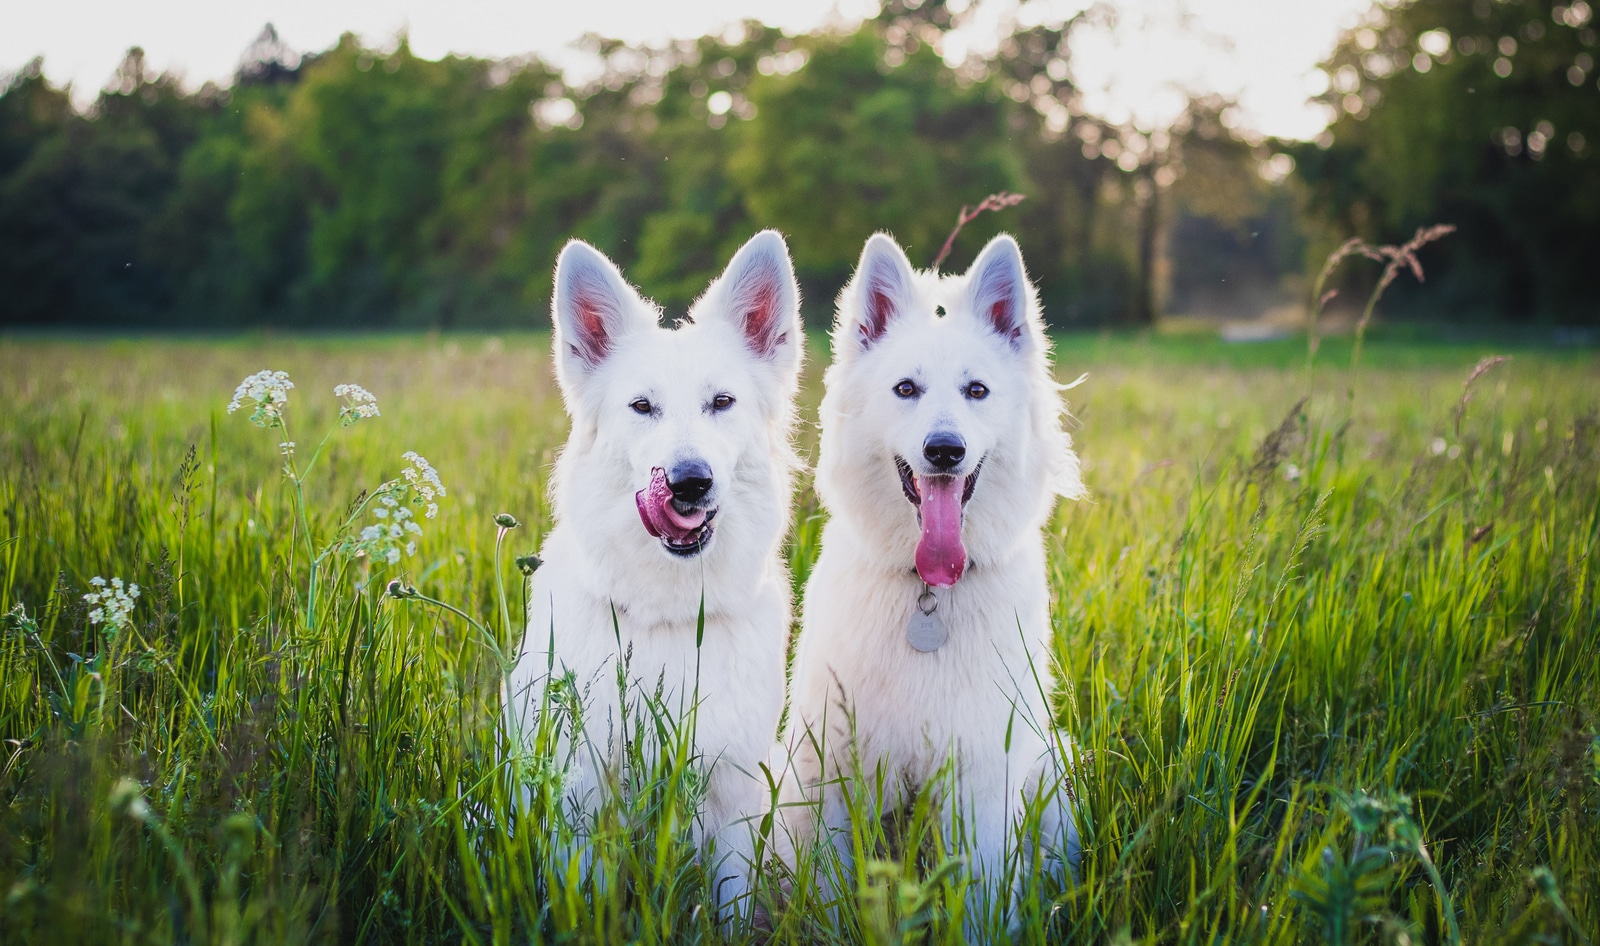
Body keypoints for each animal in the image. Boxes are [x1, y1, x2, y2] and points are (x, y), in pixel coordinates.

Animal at [505, 228, 806, 915]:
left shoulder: (732, 796)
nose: (690, 482)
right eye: (642, 406)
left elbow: (730, 907)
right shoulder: (579, 796)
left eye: (721, 402)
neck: (669, 616)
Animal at [777, 233, 1081, 928]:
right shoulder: (833, 770)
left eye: (977, 390)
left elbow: (982, 901)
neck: (929, 597)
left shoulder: (984, 777)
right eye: (906, 388)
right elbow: (833, 895)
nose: (945, 450)